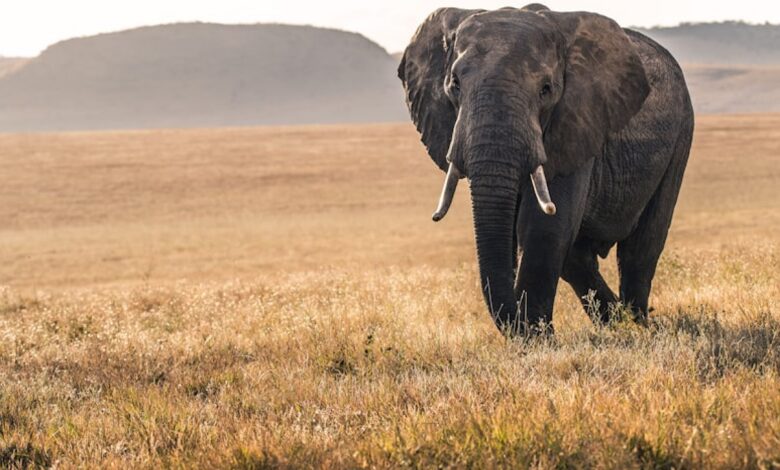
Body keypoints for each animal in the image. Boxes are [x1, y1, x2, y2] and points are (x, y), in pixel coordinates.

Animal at [398, 4, 694, 336]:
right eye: (454, 85)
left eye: (546, 89)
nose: (520, 324)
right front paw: (534, 334)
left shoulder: (576, 121)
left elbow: (544, 227)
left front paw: (538, 338)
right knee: (578, 258)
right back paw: (615, 323)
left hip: (682, 134)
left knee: (640, 248)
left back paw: (637, 325)